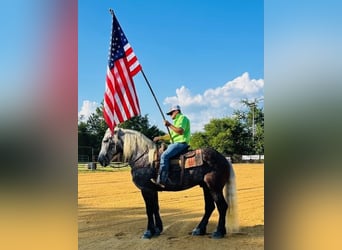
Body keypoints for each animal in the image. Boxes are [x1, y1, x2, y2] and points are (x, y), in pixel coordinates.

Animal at [97, 128, 239, 239]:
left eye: (106, 140)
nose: (100, 159)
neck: (143, 158)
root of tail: (223, 158)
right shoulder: (152, 189)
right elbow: (155, 208)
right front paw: (157, 229)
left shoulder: (145, 189)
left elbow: (148, 210)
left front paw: (148, 232)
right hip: (206, 187)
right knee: (209, 207)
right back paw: (199, 229)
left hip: (214, 187)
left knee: (222, 206)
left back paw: (219, 232)